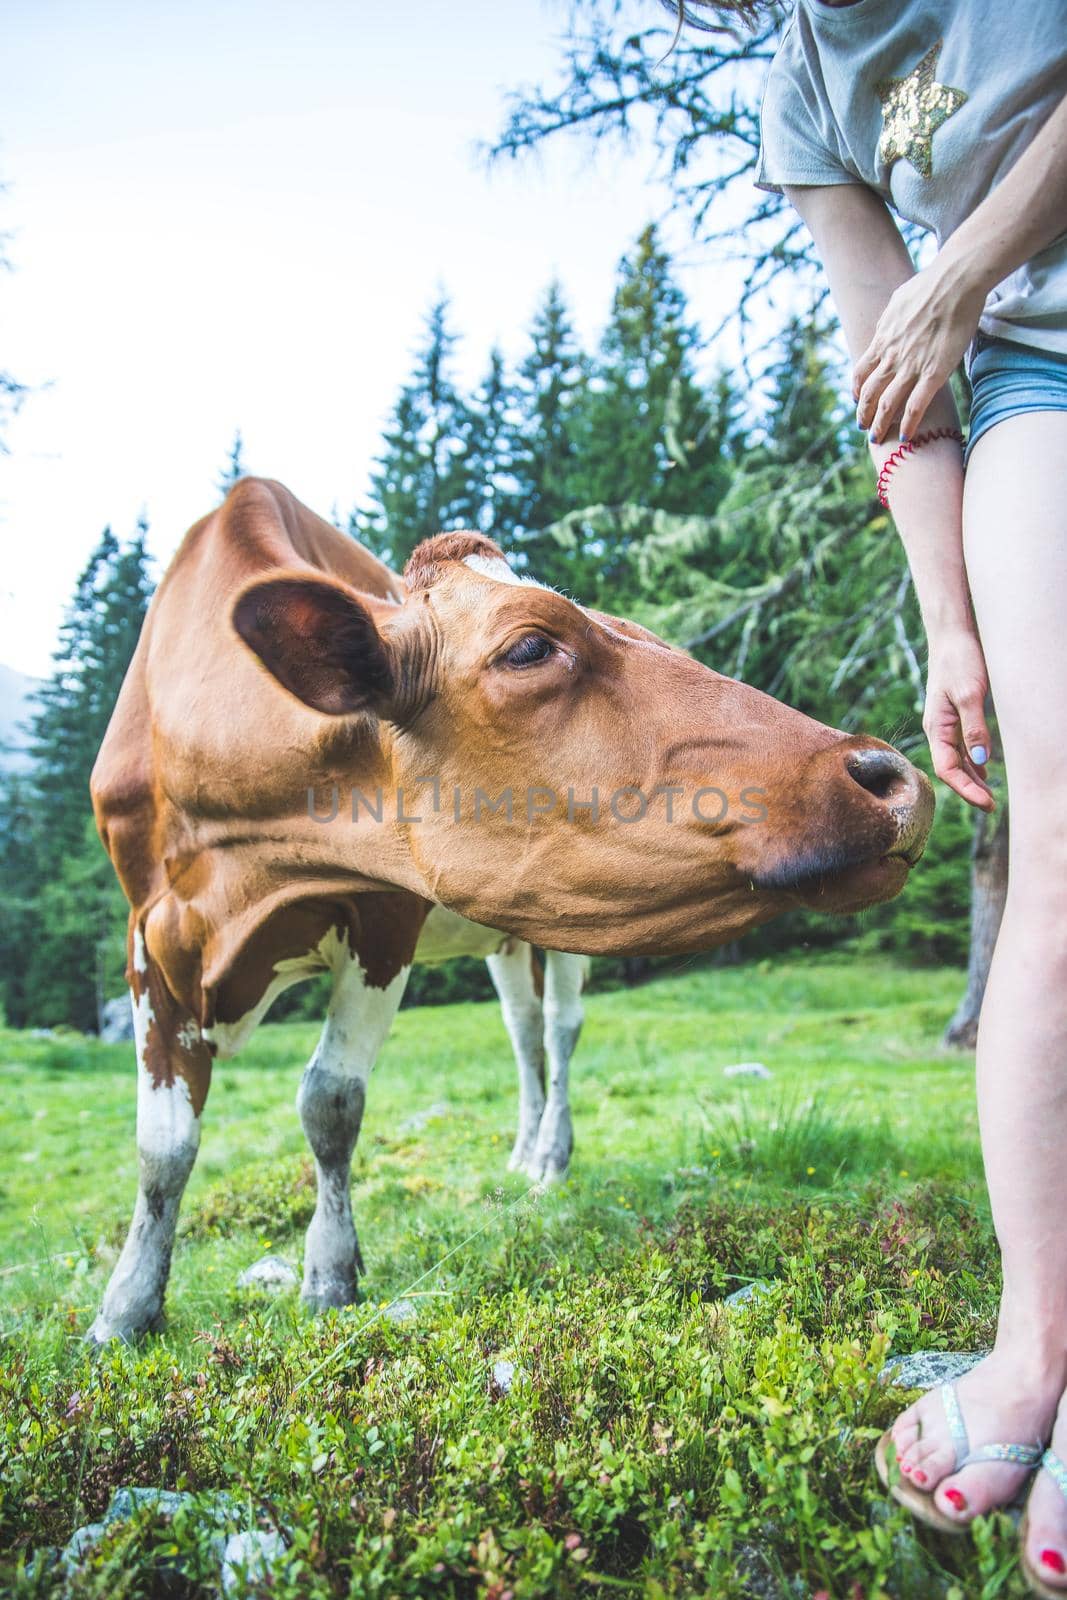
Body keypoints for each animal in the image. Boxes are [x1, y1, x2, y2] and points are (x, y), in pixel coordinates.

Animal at [85, 480, 934, 1344]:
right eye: (529, 648)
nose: (889, 774)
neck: (247, 875)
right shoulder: (148, 937)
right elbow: (162, 1144)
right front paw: (125, 1308)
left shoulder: (385, 918)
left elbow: (329, 1101)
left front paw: (328, 1274)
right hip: (507, 936)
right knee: (523, 1035)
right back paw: (525, 1154)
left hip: (554, 938)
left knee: (557, 1031)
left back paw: (552, 1158)